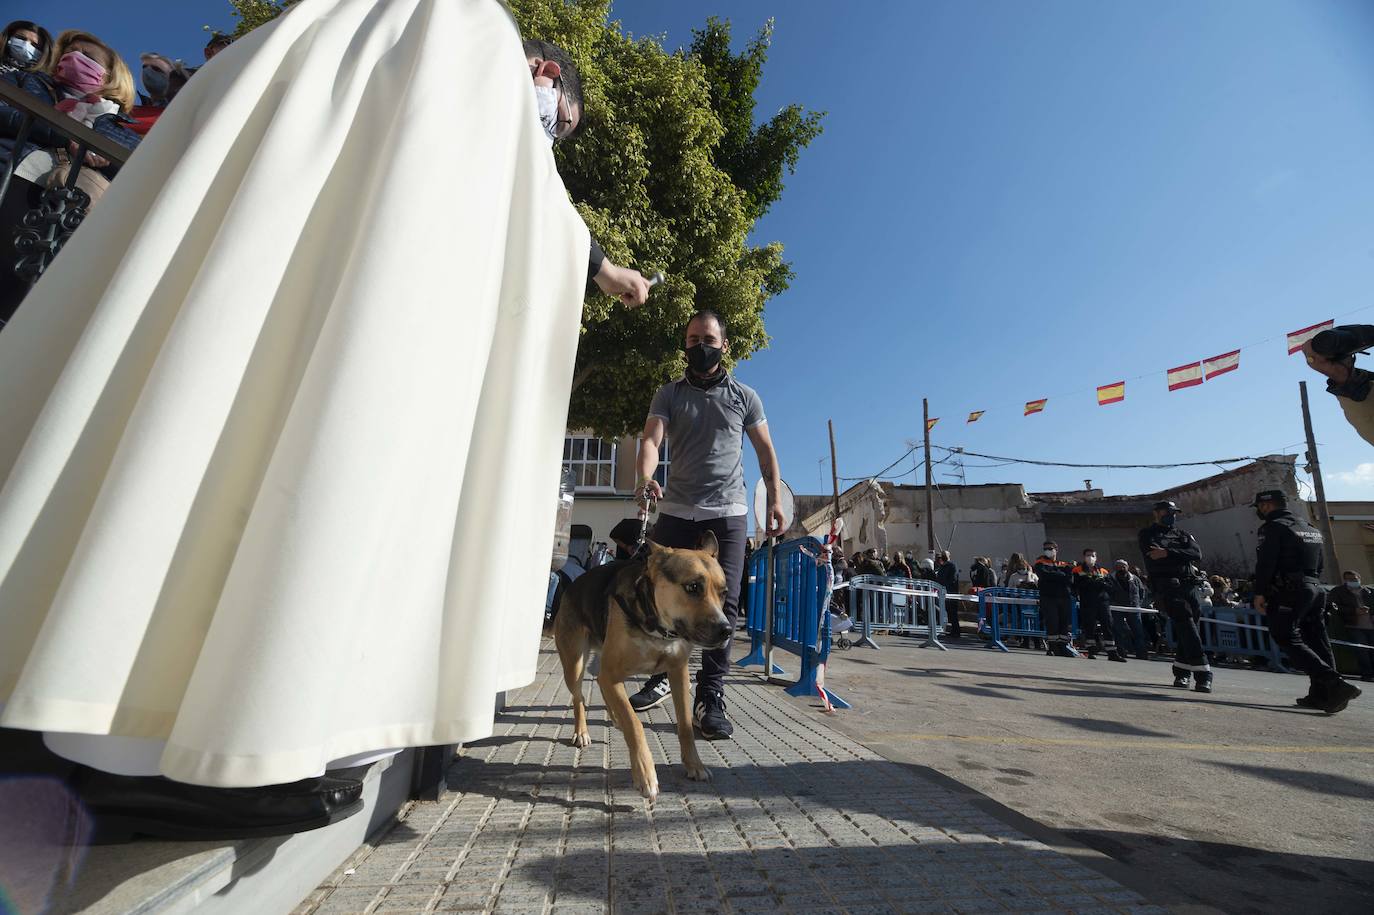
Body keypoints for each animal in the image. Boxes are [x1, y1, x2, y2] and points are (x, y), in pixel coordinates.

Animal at [555, 530, 736, 802]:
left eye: (723, 592)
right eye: (693, 587)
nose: (726, 630)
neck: (659, 628)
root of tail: (573, 585)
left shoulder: (678, 673)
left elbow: (684, 726)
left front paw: (695, 765)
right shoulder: (611, 675)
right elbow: (635, 724)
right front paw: (645, 774)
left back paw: (614, 717)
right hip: (574, 664)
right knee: (579, 699)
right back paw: (582, 732)